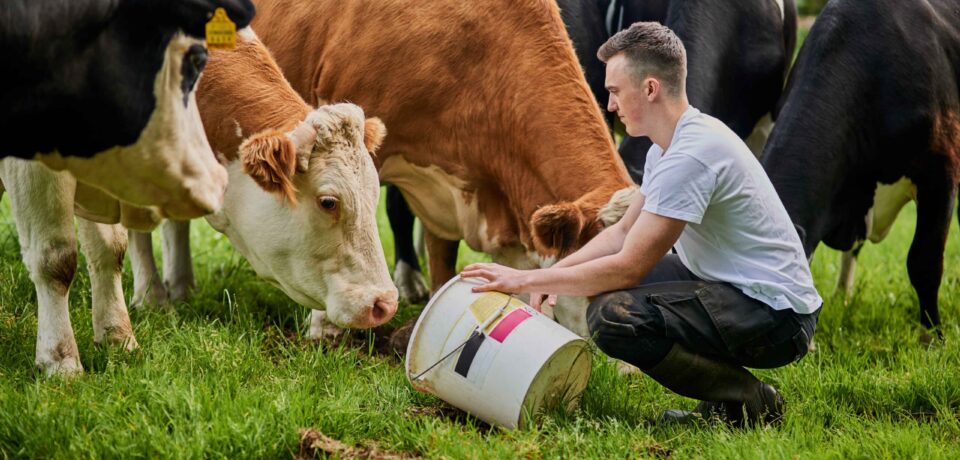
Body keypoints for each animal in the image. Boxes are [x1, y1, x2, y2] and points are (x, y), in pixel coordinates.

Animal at [0, 28, 397, 376]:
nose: (385, 303)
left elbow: (109, 251)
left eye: (375, 194)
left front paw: (117, 337)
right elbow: (56, 259)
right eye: (328, 201)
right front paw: (60, 360)